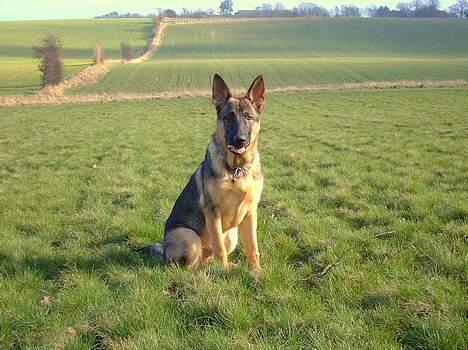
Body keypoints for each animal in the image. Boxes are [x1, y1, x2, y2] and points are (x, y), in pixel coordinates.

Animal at [152, 73, 266, 270]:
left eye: (248, 117)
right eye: (228, 117)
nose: (240, 140)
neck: (236, 169)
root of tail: (164, 252)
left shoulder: (251, 213)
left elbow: (253, 247)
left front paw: (256, 271)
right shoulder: (213, 212)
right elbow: (219, 248)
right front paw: (224, 272)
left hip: (232, 236)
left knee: (208, 259)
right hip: (189, 237)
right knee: (187, 266)